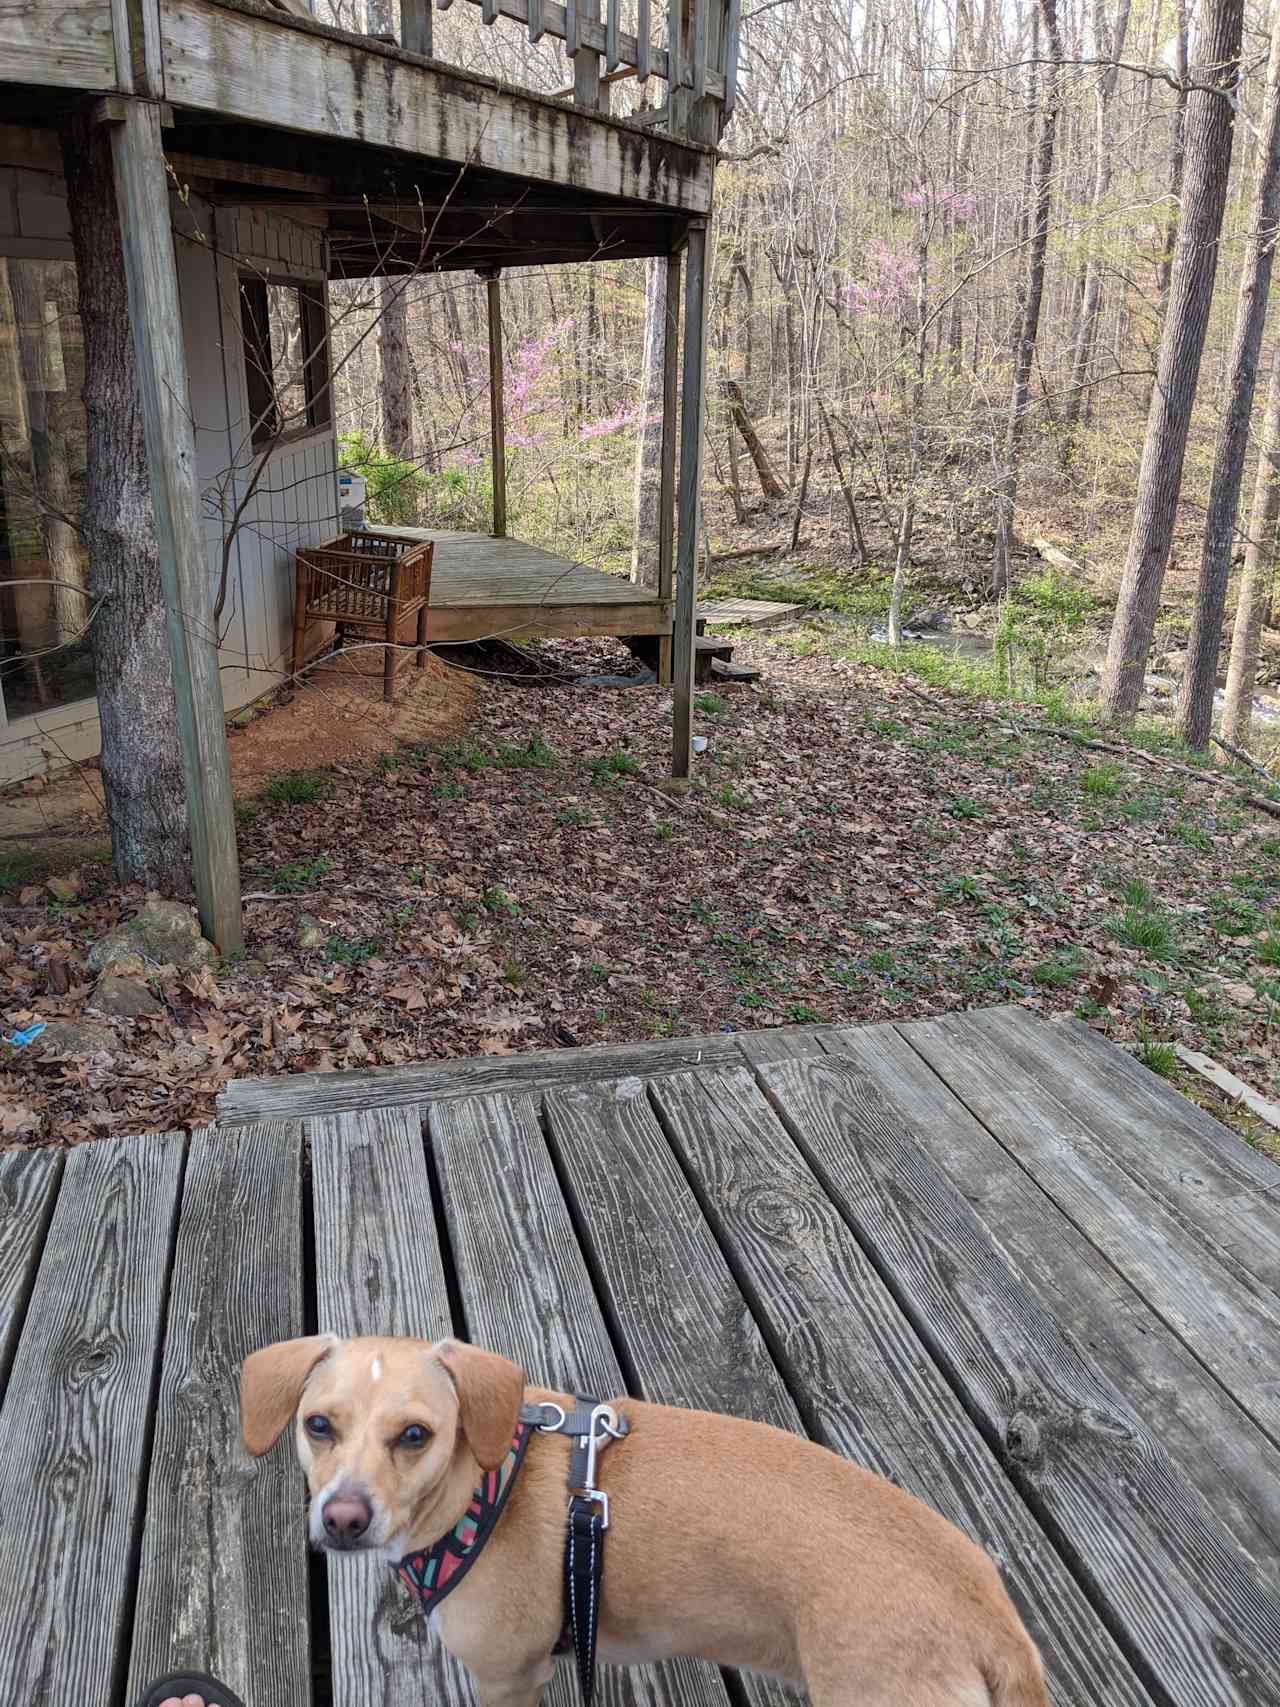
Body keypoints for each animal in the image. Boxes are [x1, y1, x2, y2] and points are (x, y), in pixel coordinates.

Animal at [240, 1331, 1051, 1707]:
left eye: (415, 1435)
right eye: (317, 1425)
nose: (344, 1518)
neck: (481, 1488)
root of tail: (995, 1624)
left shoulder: (507, 1679)